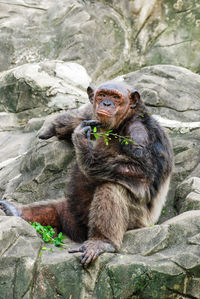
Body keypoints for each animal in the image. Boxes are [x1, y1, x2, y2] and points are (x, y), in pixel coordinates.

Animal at [0, 81, 173, 264]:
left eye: (115, 97)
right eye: (102, 95)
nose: (106, 103)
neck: (123, 121)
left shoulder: (138, 133)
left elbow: (141, 169)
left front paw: (81, 138)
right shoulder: (93, 116)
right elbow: (81, 115)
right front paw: (55, 128)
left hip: (138, 222)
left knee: (112, 188)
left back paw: (102, 241)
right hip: (73, 215)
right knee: (57, 208)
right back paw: (15, 211)